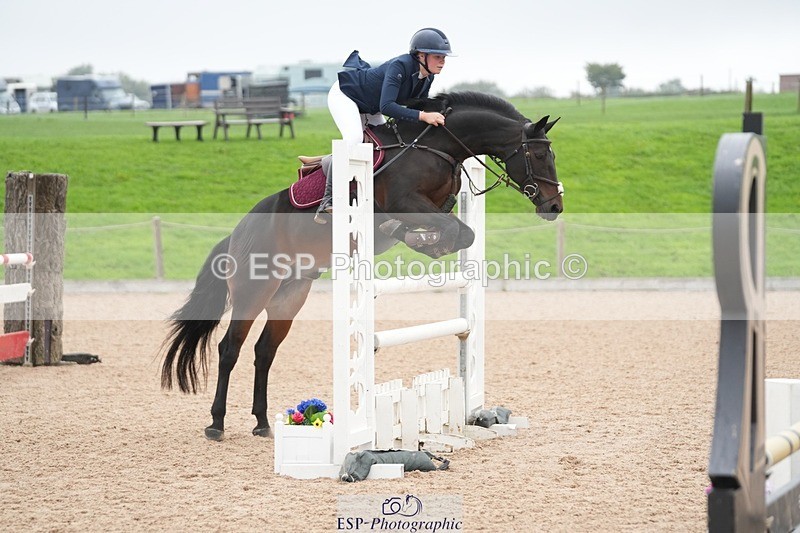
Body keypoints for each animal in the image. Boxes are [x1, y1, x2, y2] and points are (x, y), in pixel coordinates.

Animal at [160, 91, 563, 441]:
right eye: (541, 155)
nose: (554, 206)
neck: (438, 146)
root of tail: (237, 232)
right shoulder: (406, 202)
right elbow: (454, 230)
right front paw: (418, 238)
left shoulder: (436, 207)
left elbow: (461, 233)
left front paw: (424, 241)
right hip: (252, 291)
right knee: (230, 348)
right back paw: (216, 423)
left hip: (290, 294)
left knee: (264, 352)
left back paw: (261, 423)